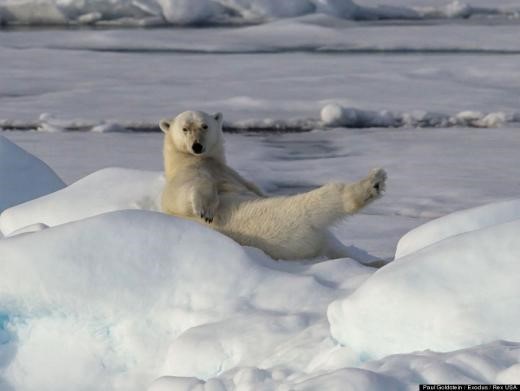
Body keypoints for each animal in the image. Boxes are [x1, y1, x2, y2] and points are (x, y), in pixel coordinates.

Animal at [161, 110, 386, 262]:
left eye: (205, 125)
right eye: (185, 129)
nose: (197, 146)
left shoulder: (233, 174)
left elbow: (253, 186)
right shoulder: (186, 175)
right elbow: (188, 192)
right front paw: (205, 209)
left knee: (337, 247)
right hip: (285, 221)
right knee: (318, 202)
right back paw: (373, 183)